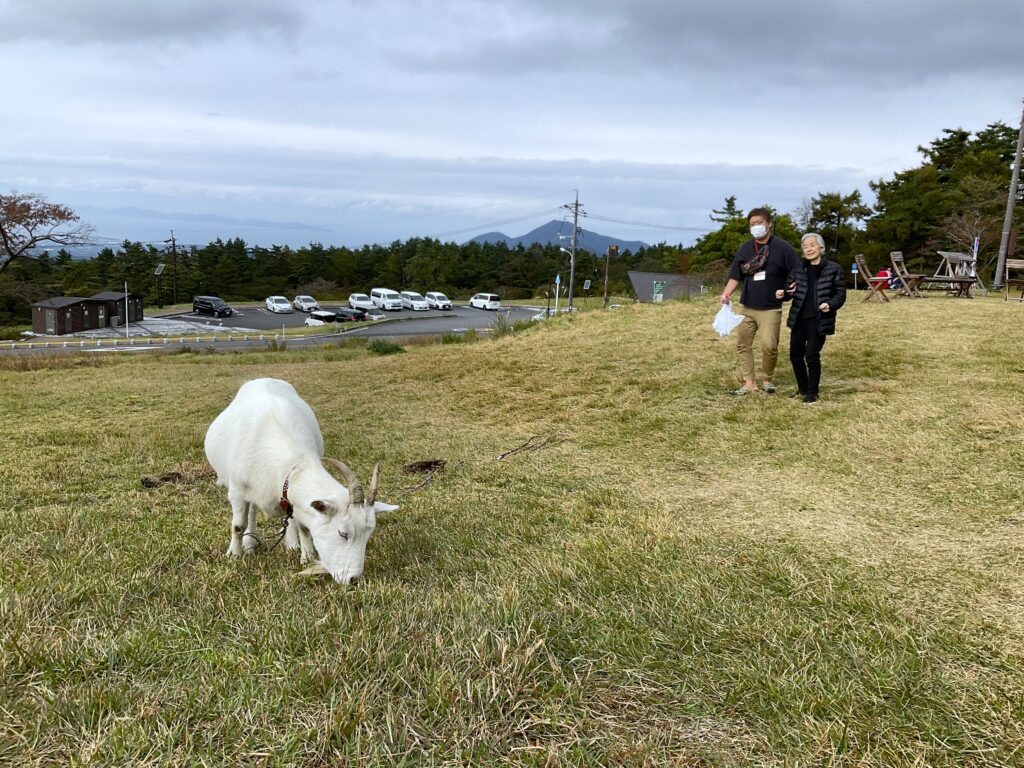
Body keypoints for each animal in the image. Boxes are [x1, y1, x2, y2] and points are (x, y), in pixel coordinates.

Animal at [202, 376, 395, 581]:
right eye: (343, 533)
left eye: (368, 534)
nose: (354, 579)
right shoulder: (237, 491)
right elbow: (238, 525)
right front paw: (233, 555)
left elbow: (303, 526)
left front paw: (307, 558)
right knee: (252, 509)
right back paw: (249, 544)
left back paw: (291, 543)